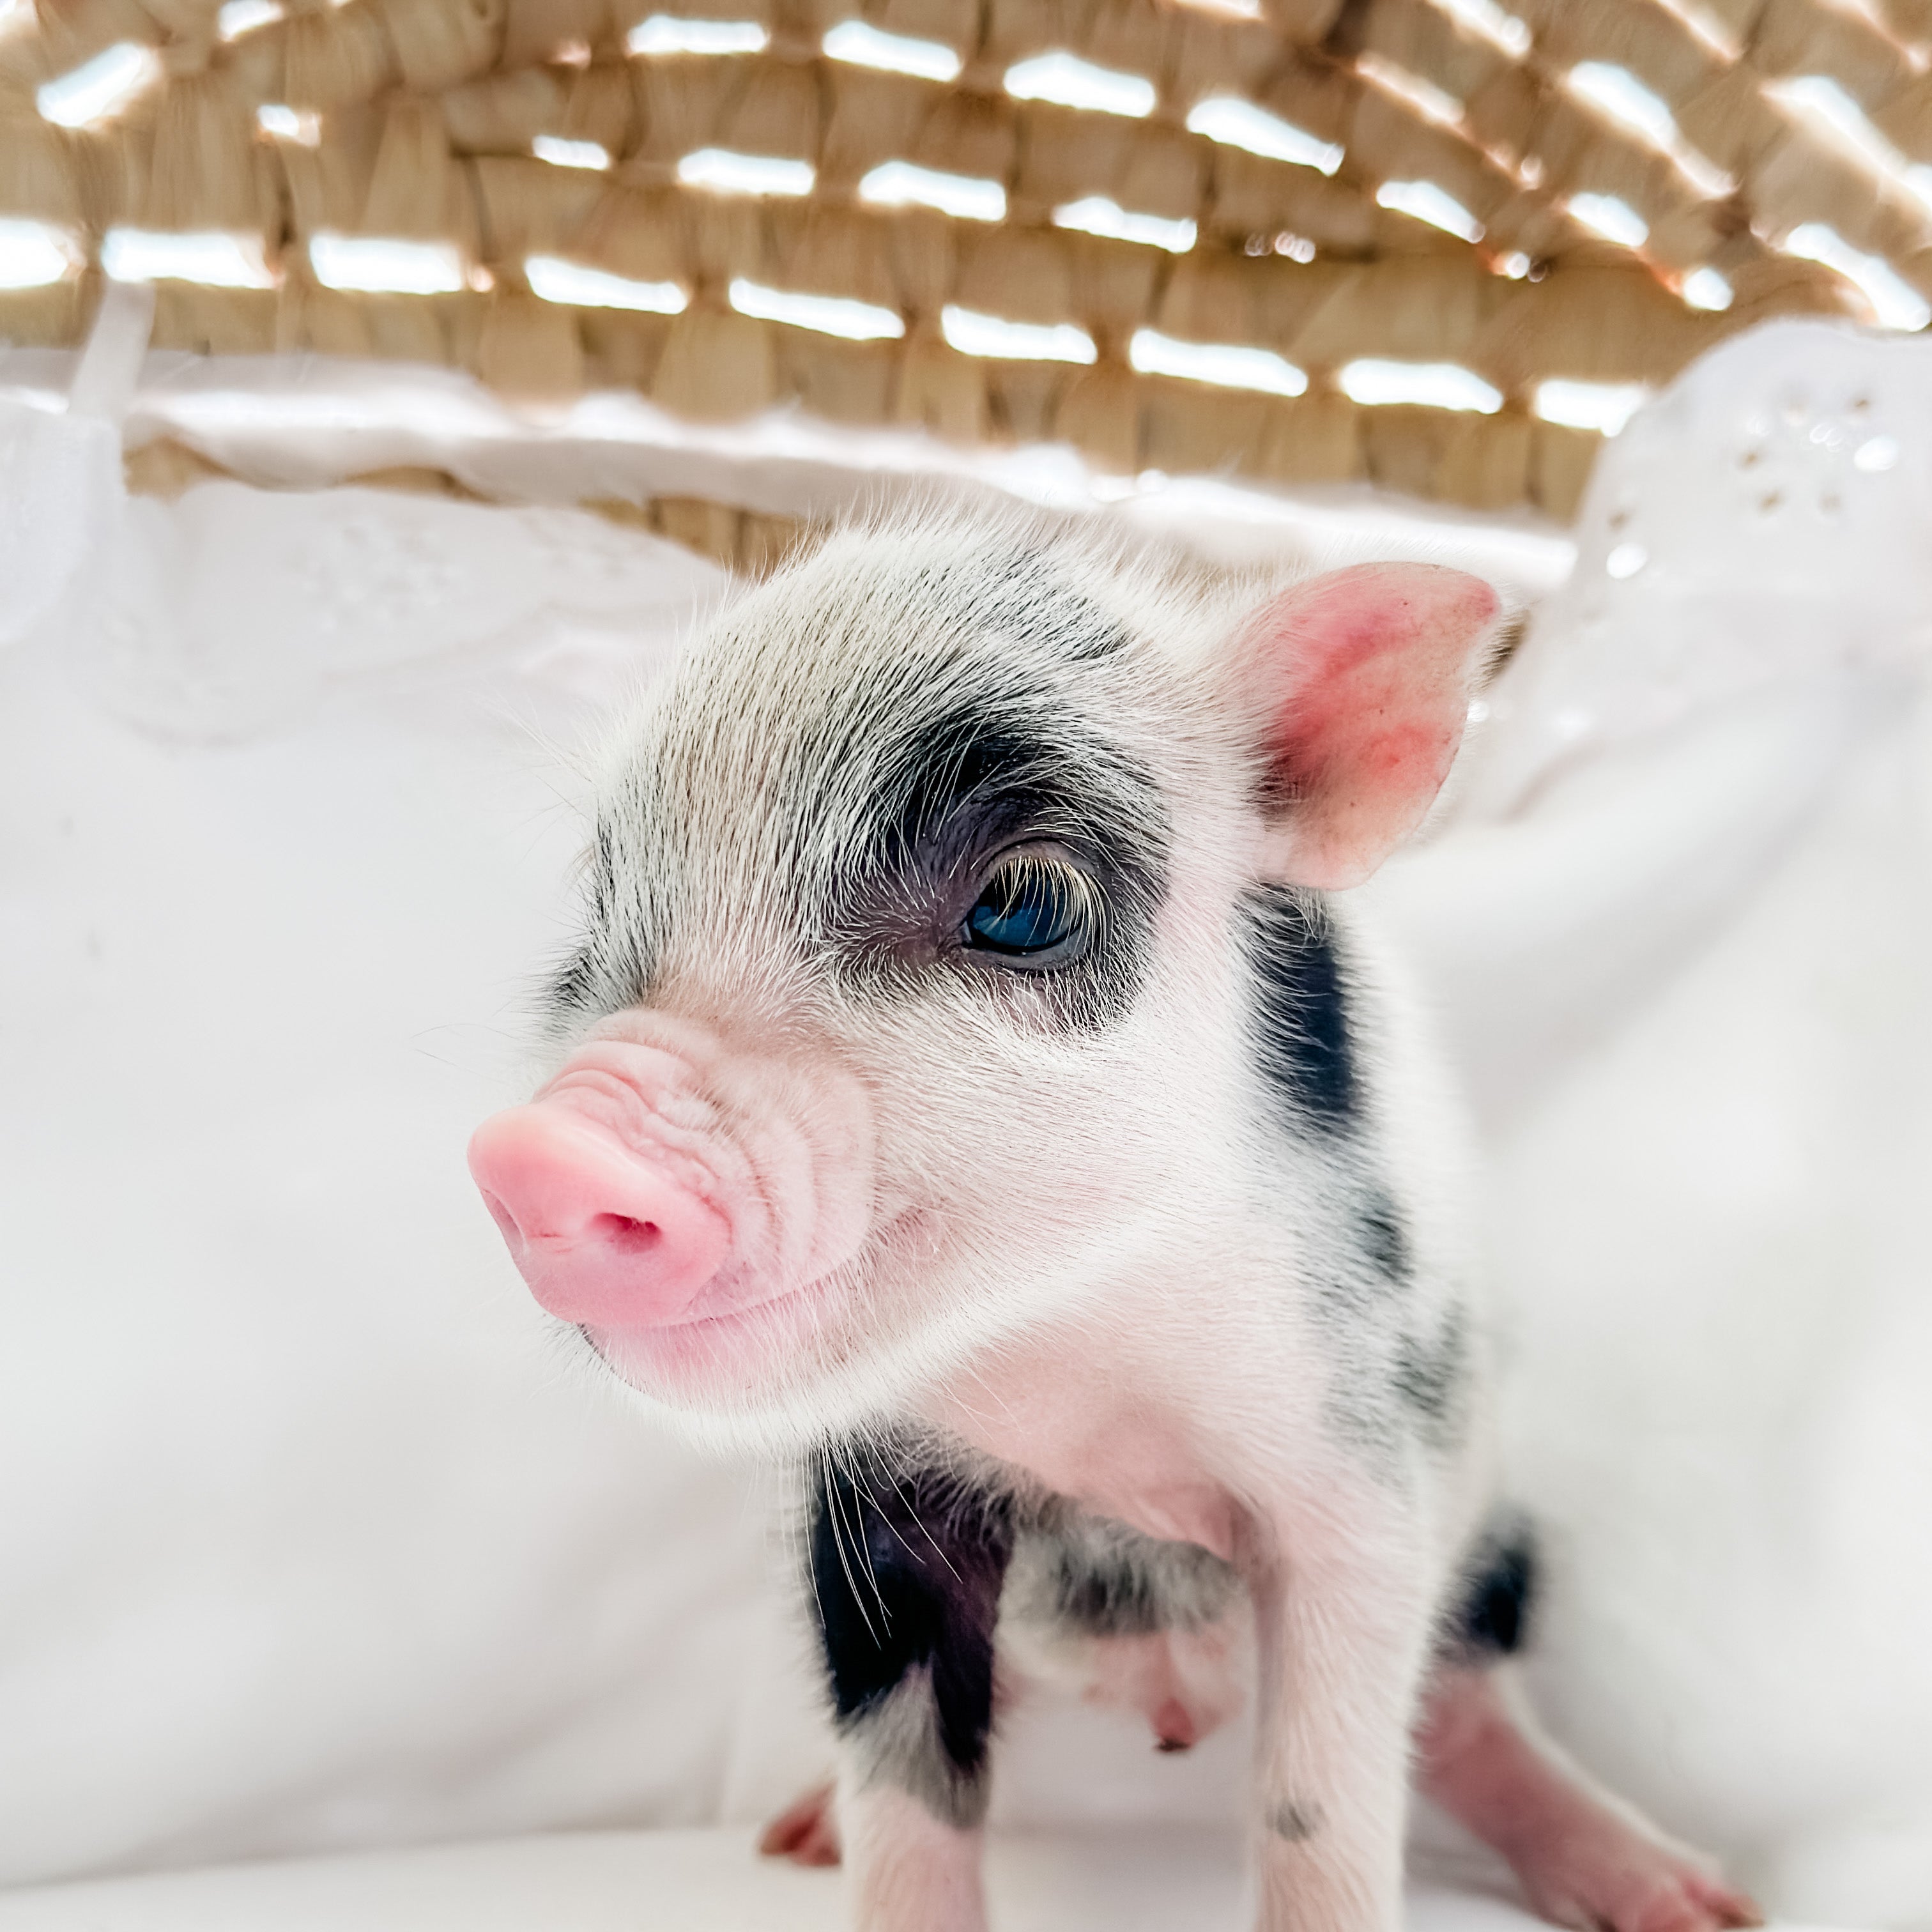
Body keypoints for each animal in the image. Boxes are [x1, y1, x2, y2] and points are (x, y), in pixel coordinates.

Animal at [468, 507, 1762, 1932]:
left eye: (1023, 904)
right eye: (599, 912)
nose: (543, 1149)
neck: (1083, 1383)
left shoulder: (1359, 1463)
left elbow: (1323, 1802)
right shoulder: (873, 1508)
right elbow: (907, 1800)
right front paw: (831, 1846)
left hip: (1495, 1542)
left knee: (1465, 1720)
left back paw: (1691, 1900)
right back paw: (794, 1833)